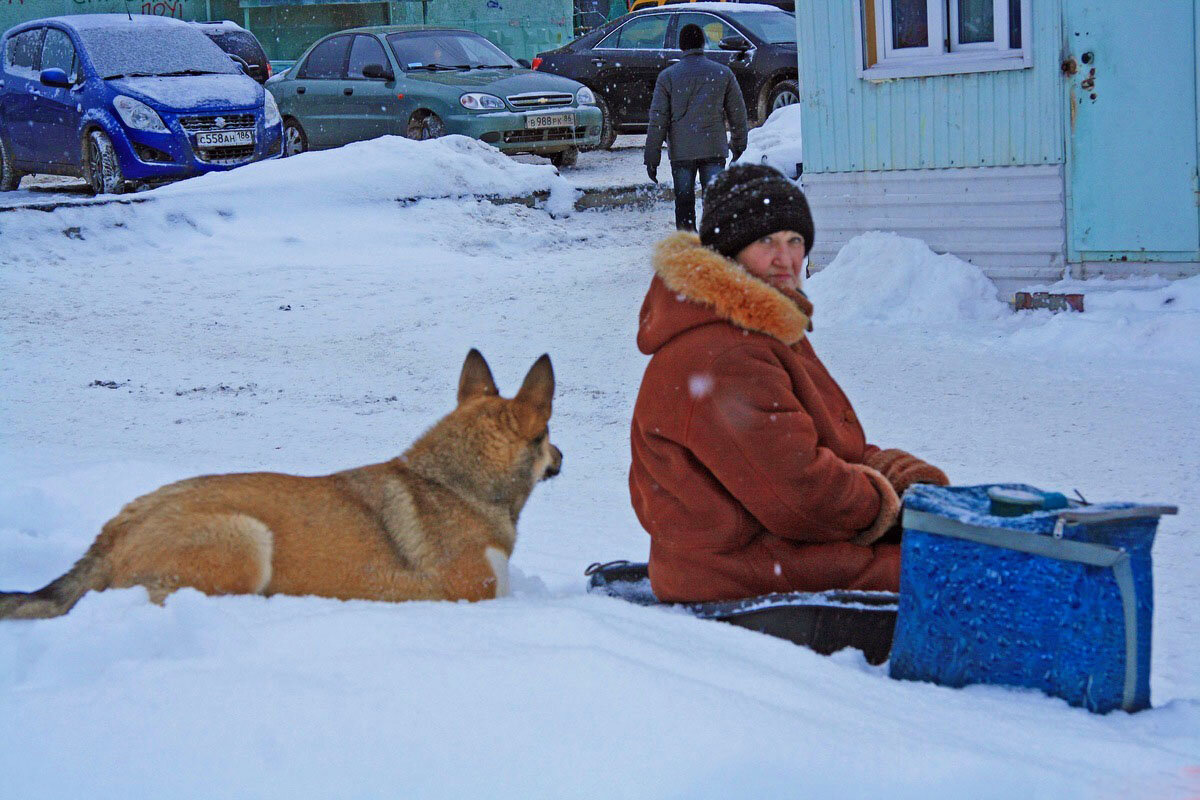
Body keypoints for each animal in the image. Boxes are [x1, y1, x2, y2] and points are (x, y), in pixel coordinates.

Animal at [0, 350, 564, 618]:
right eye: (549, 435)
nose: (562, 457)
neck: (455, 484)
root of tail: (110, 537)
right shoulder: (478, 594)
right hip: (247, 539)